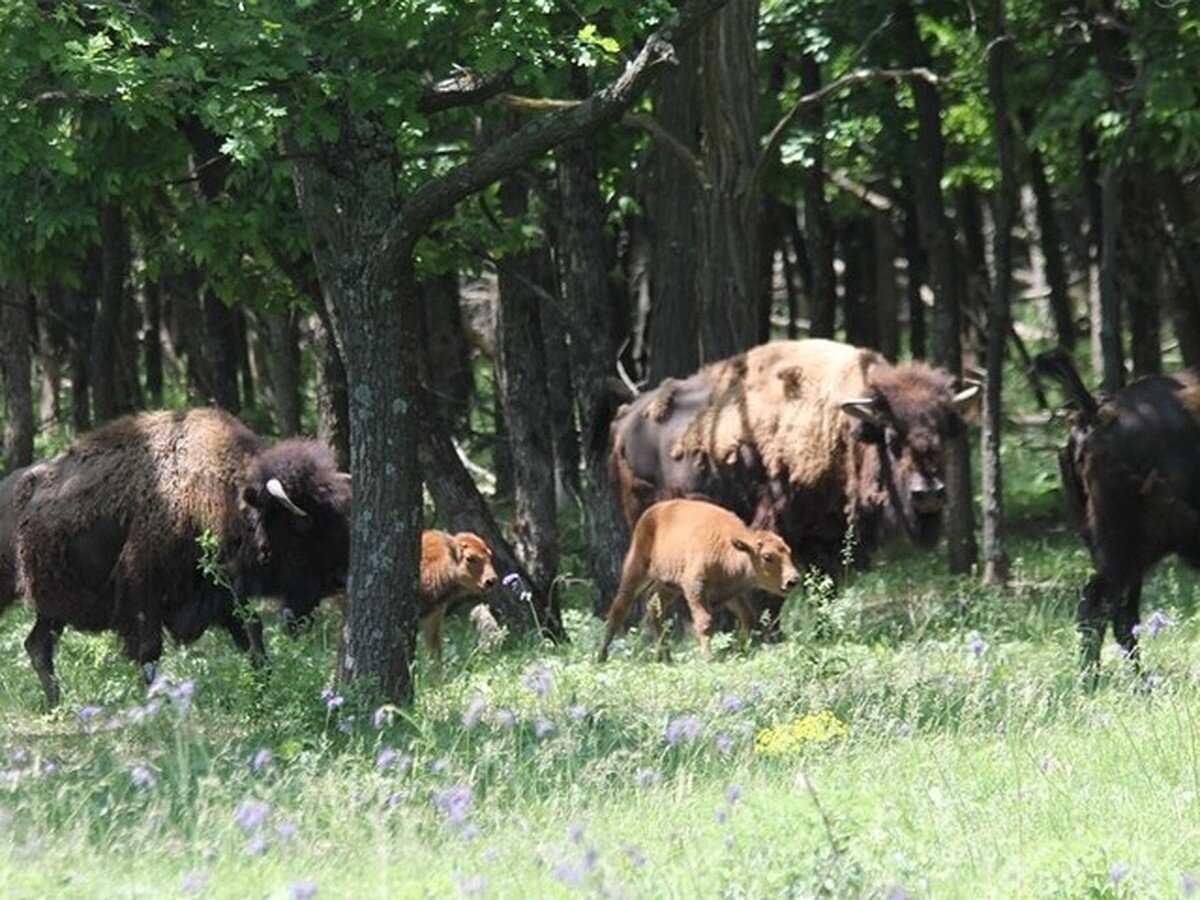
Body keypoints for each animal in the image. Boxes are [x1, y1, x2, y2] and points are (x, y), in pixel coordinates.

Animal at [3, 410, 350, 710]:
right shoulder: (144, 592)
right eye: (304, 523)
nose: (340, 578)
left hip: (54, 609)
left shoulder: (223, 595)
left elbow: (253, 639)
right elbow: (149, 651)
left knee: (37, 645)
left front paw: (264, 692)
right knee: (38, 645)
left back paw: (55, 704)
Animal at [595, 501, 801, 662]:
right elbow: (705, 622)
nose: (793, 580)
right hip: (637, 567)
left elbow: (748, 617)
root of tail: (653, 511)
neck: (732, 550)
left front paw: (738, 651)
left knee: (654, 604)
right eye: (767, 557)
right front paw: (708, 658)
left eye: (789, 552)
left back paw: (665, 658)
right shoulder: (695, 588)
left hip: (669, 585)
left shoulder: (731, 594)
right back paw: (601, 657)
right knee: (620, 606)